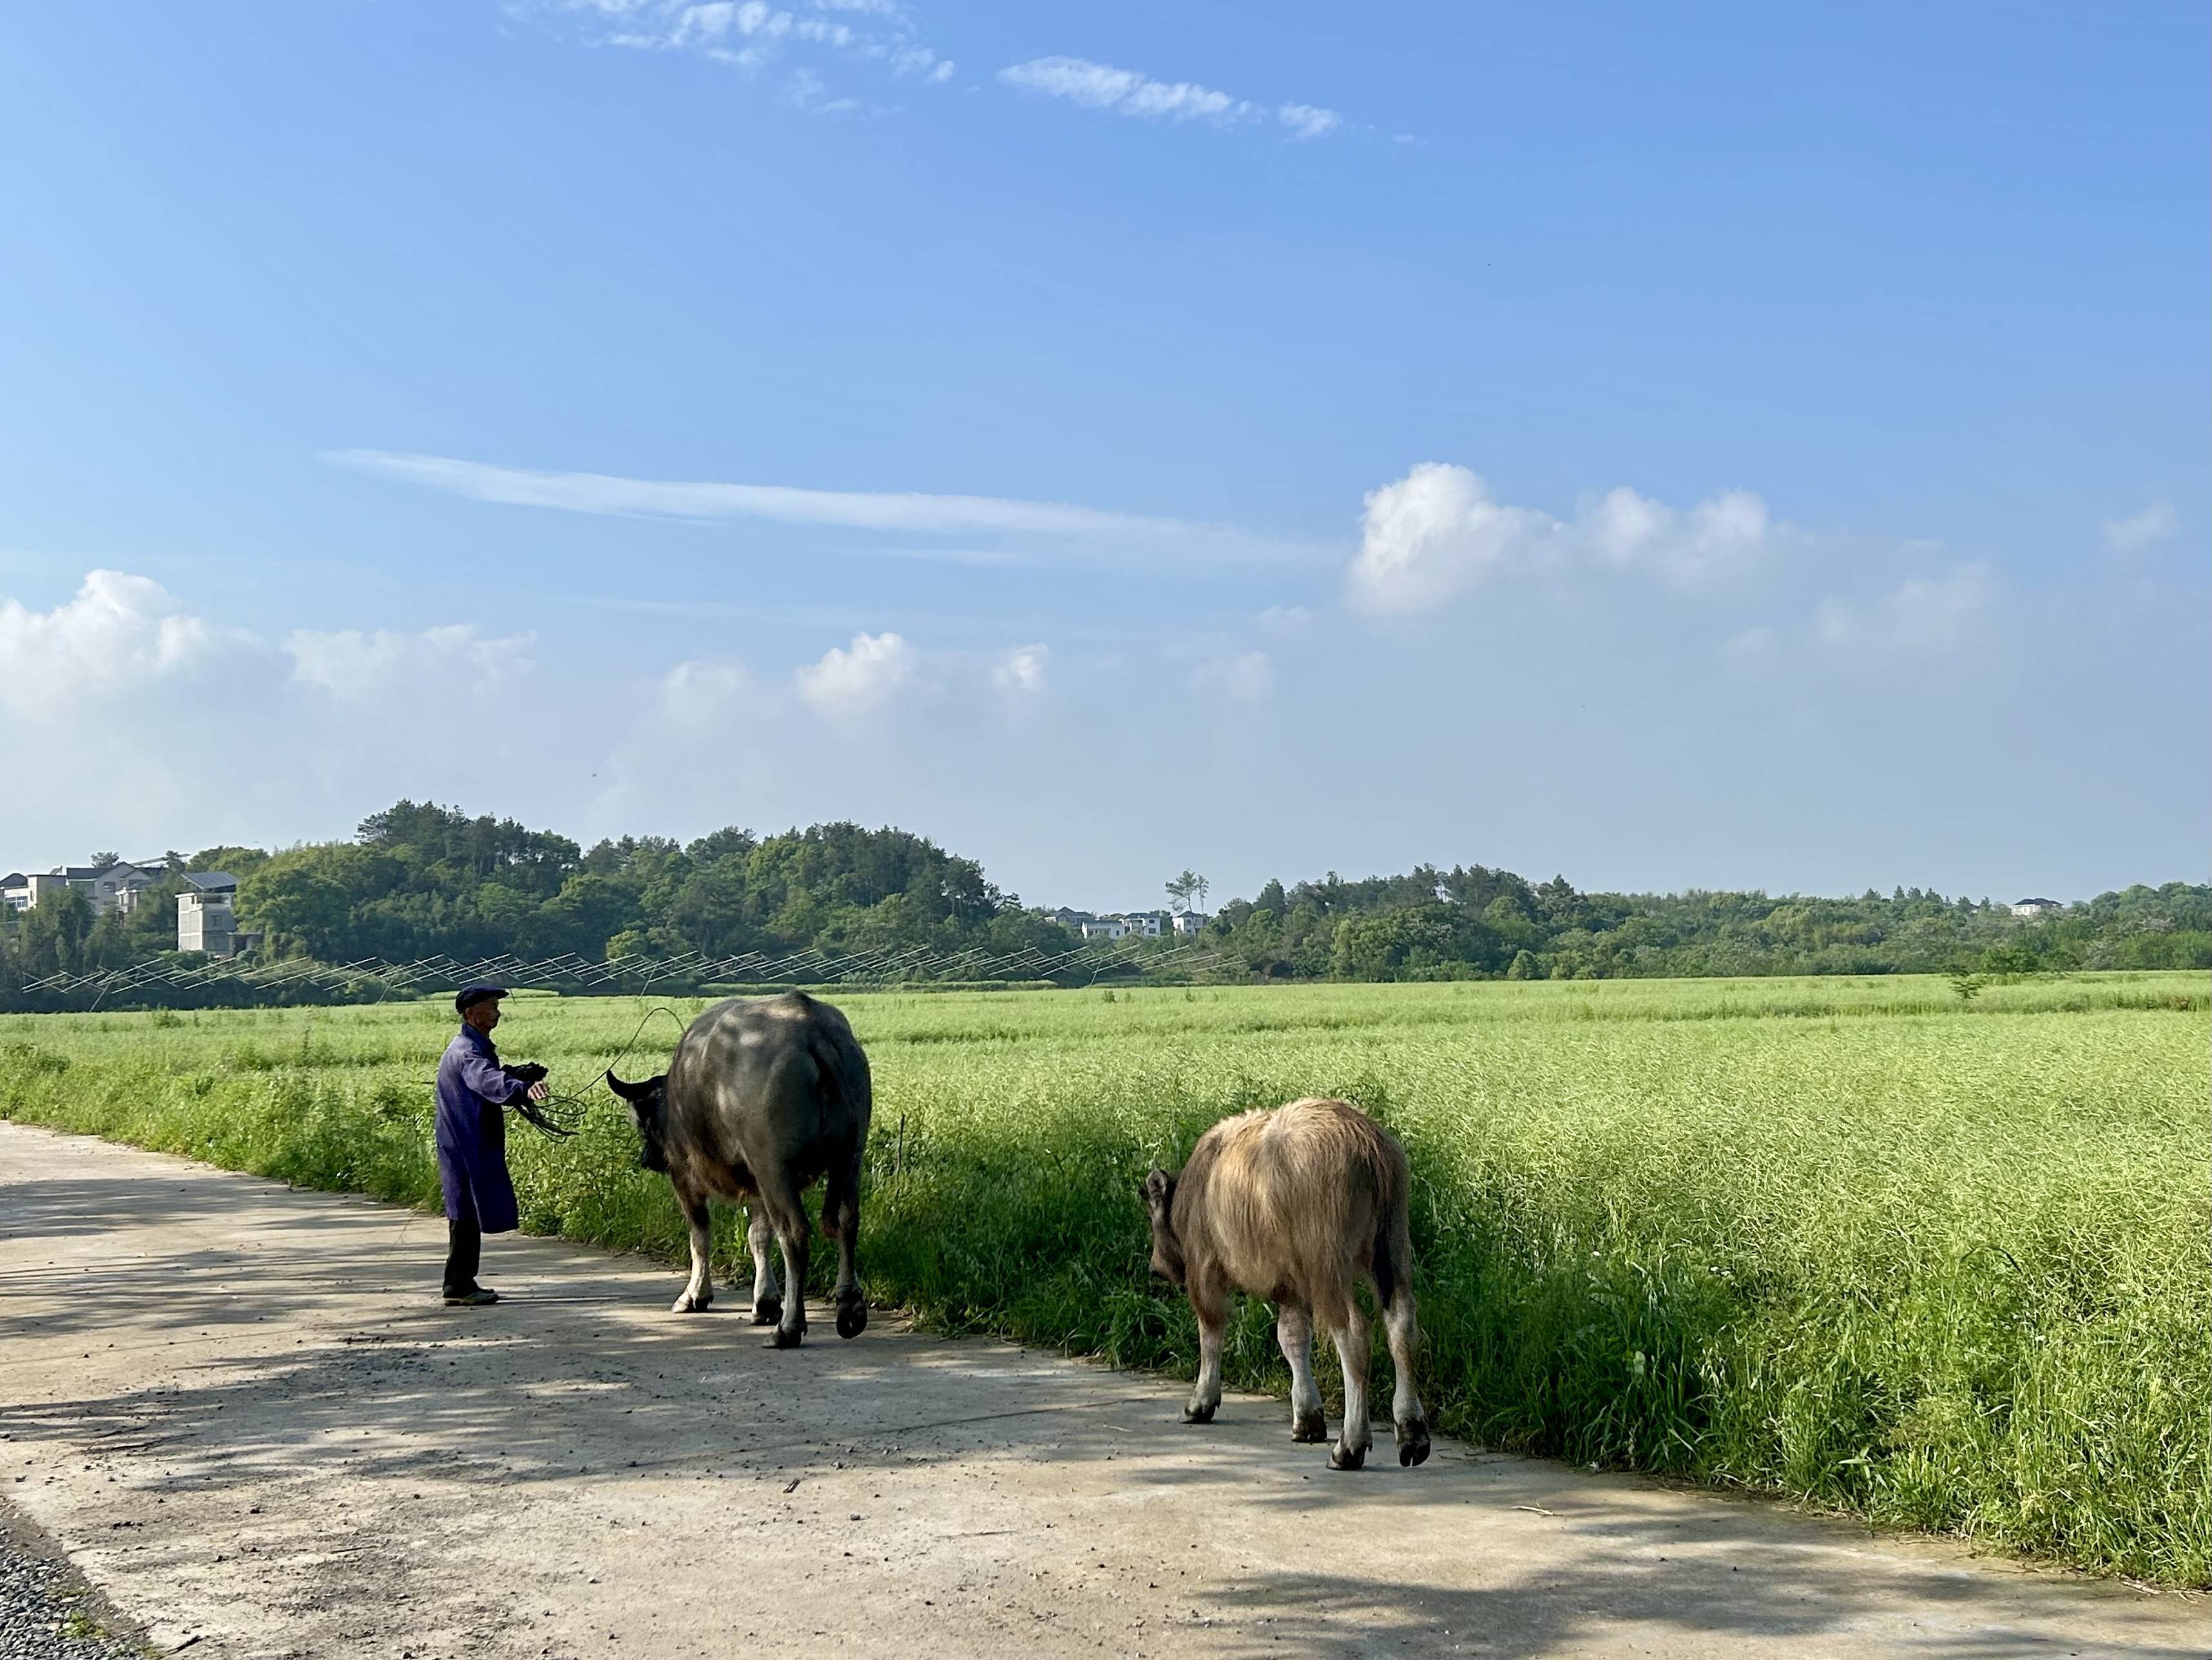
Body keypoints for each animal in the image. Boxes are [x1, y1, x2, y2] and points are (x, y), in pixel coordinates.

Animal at [615, 996, 880, 1346]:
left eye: (643, 1121)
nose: (648, 1158)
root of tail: (813, 1030)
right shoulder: (757, 1185)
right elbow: (759, 1236)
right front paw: (765, 1303)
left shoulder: (685, 1176)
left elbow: (700, 1235)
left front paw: (695, 1295)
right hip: (849, 1158)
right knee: (847, 1222)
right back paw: (849, 1309)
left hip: (775, 1167)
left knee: (794, 1233)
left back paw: (789, 1328)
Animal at [1141, 1106, 1433, 1469]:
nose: (1155, 1267)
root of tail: (1366, 1142)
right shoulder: (1293, 1290)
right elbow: (1293, 1340)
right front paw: (1308, 1419)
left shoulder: (1205, 1272)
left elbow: (1210, 1334)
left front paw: (1199, 1404)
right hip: (1392, 1252)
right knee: (1402, 1327)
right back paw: (1412, 1435)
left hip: (1328, 1270)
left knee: (1353, 1337)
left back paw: (1350, 1445)